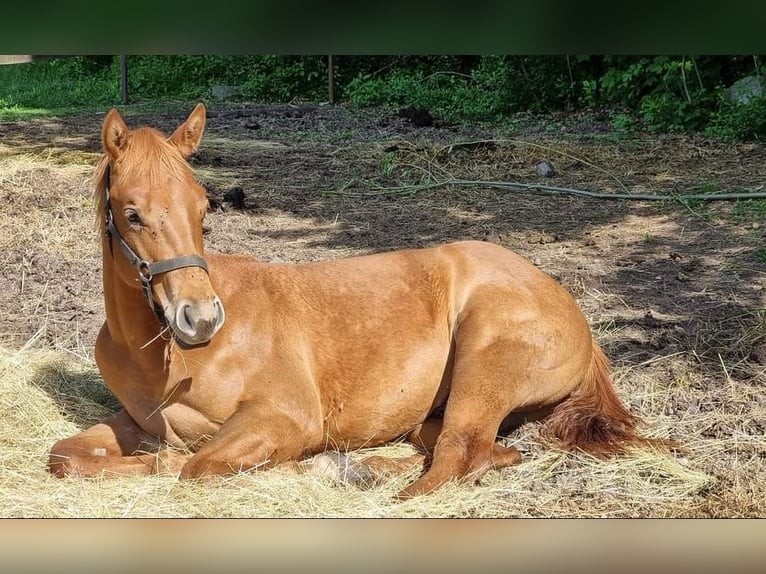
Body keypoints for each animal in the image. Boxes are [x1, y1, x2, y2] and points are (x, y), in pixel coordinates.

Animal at [48, 103, 656, 500]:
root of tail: (567, 303)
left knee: (460, 456)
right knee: (474, 449)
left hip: (484, 363)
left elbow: (191, 466)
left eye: (204, 207)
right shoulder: (132, 424)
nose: (200, 319)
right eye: (131, 214)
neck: (166, 360)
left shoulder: (285, 417)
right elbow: (67, 457)